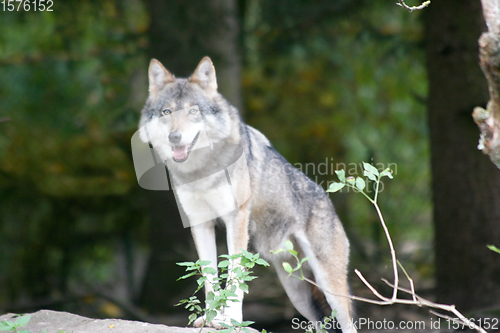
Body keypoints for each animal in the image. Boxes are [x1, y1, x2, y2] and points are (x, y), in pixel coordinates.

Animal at [137, 57, 356, 332]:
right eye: (167, 112)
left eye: (193, 111)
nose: (174, 137)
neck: (201, 171)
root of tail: (328, 200)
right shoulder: (200, 223)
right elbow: (209, 277)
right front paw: (209, 318)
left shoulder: (237, 219)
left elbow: (234, 274)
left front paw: (229, 319)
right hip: (298, 295)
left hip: (330, 288)